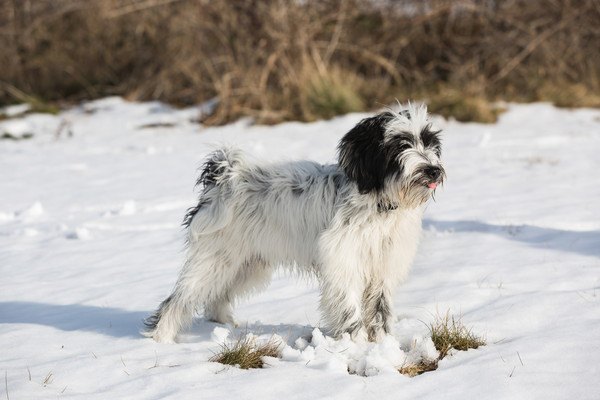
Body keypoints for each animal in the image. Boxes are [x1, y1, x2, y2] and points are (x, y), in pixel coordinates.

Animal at [144, 103, 446, 344]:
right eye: (401, 144)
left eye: (429, 142)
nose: (433, 170)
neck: (379, 204)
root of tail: (224, 177)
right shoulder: (343, 262)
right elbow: (350, 309)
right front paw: (357, 345)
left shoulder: (383, 265)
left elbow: (381, 310)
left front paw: (383, 344)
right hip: (215, 259)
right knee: (178, 300)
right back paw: (162, 338)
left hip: (246, 264)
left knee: (216, 297)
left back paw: (225, 325)